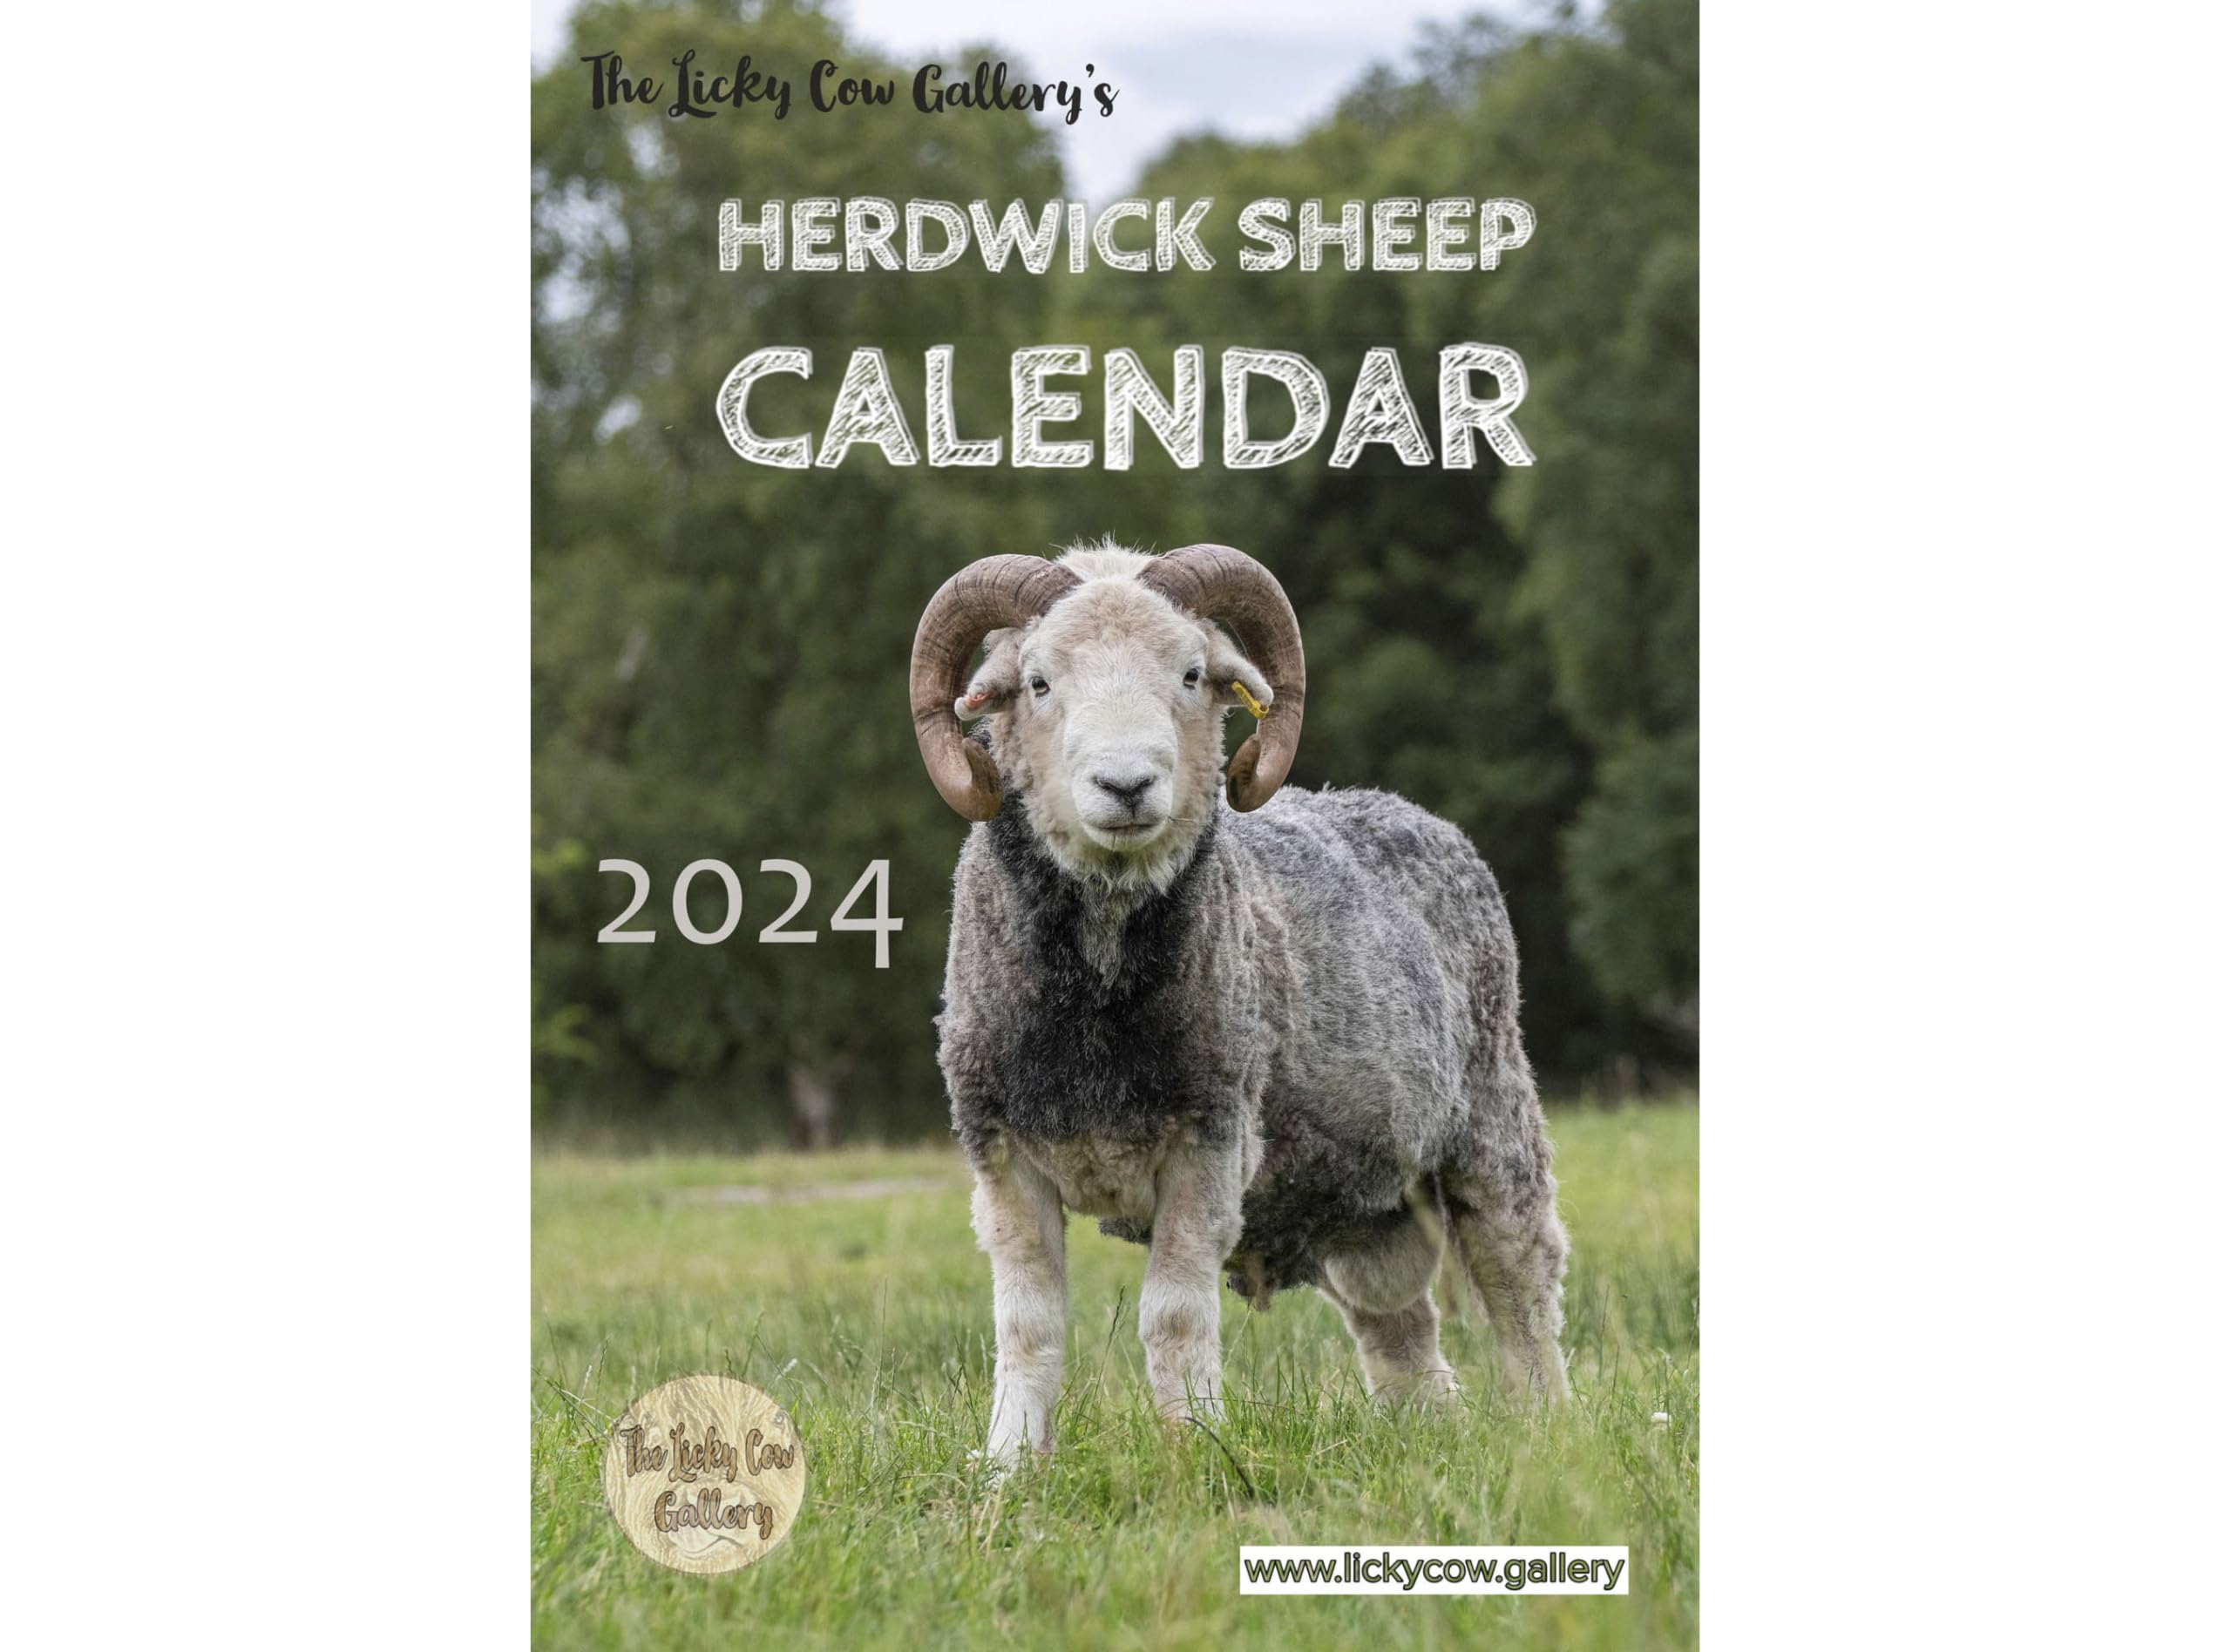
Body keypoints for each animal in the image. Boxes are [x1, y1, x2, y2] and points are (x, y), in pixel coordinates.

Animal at [910, 542, 1569, 1468]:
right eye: (1037, 682)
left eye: (1191, 673)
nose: (1126, 784)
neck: (1097, 1014)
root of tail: (1407, 809)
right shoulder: (1001, 1151)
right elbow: (1027, 1327)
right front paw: (1007, 1469)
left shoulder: (1210, 1138)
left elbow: (1175, 1317)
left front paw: (1195, 1451)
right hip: (1368, 1208)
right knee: (1403, 1335)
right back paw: (1428, 1441)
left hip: (1492, 1119)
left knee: (1523, 1288)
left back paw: (1551, 1434)